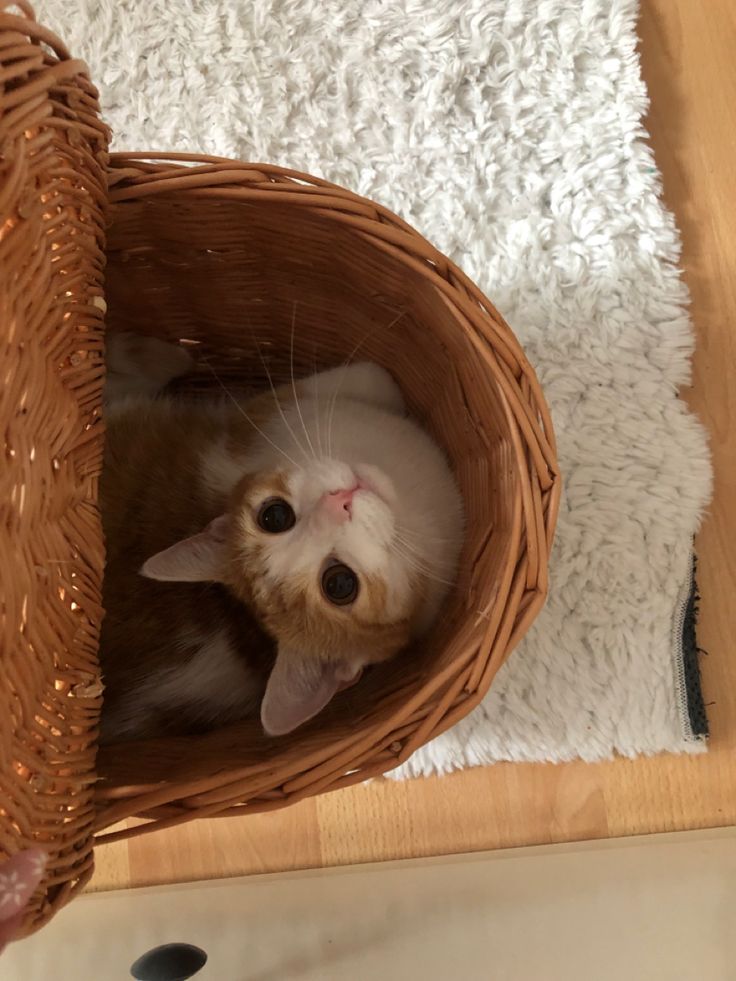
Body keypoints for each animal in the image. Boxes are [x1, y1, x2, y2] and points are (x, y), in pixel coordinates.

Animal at [98, 334, 462, 740]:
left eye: (274, 516)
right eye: (339, 584)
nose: (338, 503)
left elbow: (375, 377)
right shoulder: (256, 417)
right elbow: (372, 374)